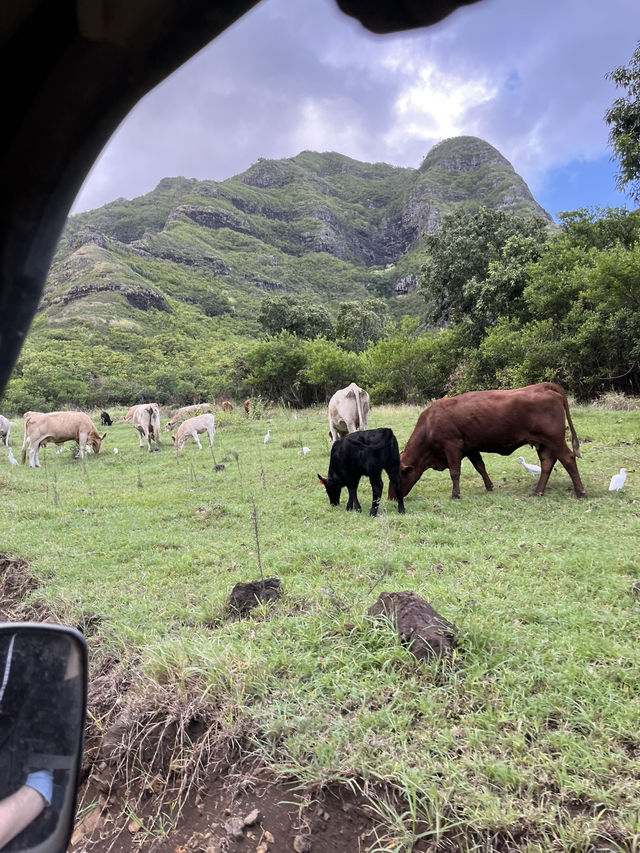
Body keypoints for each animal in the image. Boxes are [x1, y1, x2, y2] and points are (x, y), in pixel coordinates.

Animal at [390, 382, 584, 500]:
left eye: (397, 477)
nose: (391, 497)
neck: (430, 423)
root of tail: (544, 386)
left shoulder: (452, 446)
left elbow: (455, 472)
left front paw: (455, 495)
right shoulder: (470, 448)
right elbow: (480, 467)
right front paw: (489, 487)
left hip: (555, 440)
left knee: (568, 459)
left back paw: (580, 492)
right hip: (544, 444)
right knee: (547, 463)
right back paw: (538, 491)